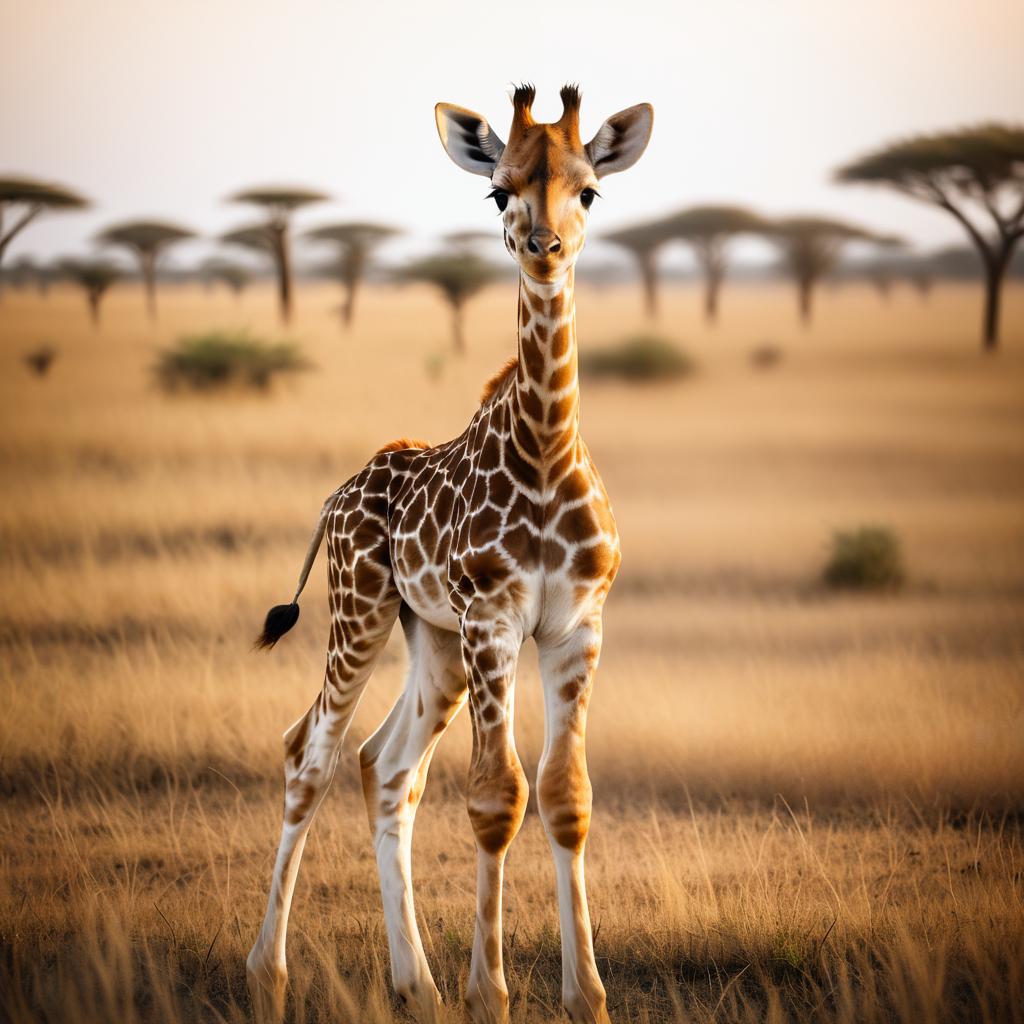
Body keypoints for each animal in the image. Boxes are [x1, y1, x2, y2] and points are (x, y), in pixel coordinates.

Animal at [243, 86, 651, 1024]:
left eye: (590, 189)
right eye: (500, 190)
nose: (545, 249)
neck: (545, 452)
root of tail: (337, 495)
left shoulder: (577, 627)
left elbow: (565, 797)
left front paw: (586, 995)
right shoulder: (492, 619)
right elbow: (498, 796)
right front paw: (489, 992)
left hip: (430, 640)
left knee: (385, 765)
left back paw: (414, 982)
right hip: (362, 611)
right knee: (309, 754)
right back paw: (267, 972)